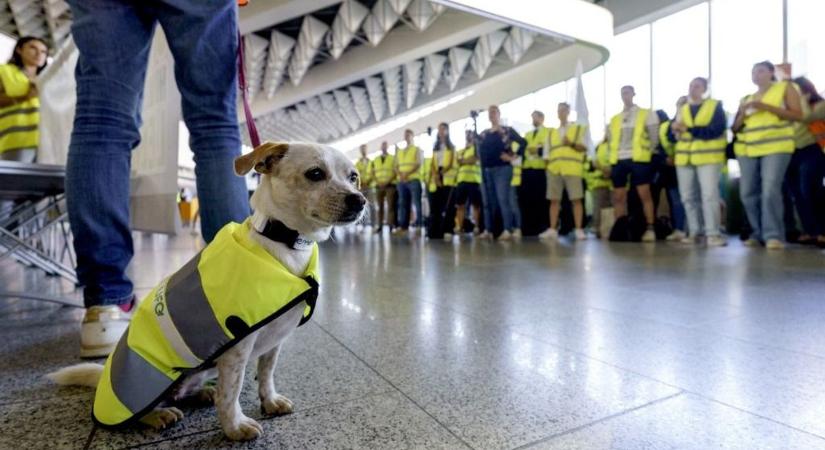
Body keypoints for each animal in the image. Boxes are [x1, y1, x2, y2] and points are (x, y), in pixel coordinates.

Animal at [47, 142, 364, 440]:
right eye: (315, 174)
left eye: (354, 177)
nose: (360, 200)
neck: (285, 243)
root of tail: (105, 378)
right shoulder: (237, 348)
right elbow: (232, 391)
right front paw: (235, 427)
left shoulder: (275, 340)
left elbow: (266, 373)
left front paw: (269, 401)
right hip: (148, 387)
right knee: (143, 409)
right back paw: (159, 415)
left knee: (192, 391)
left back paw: (202, 393)